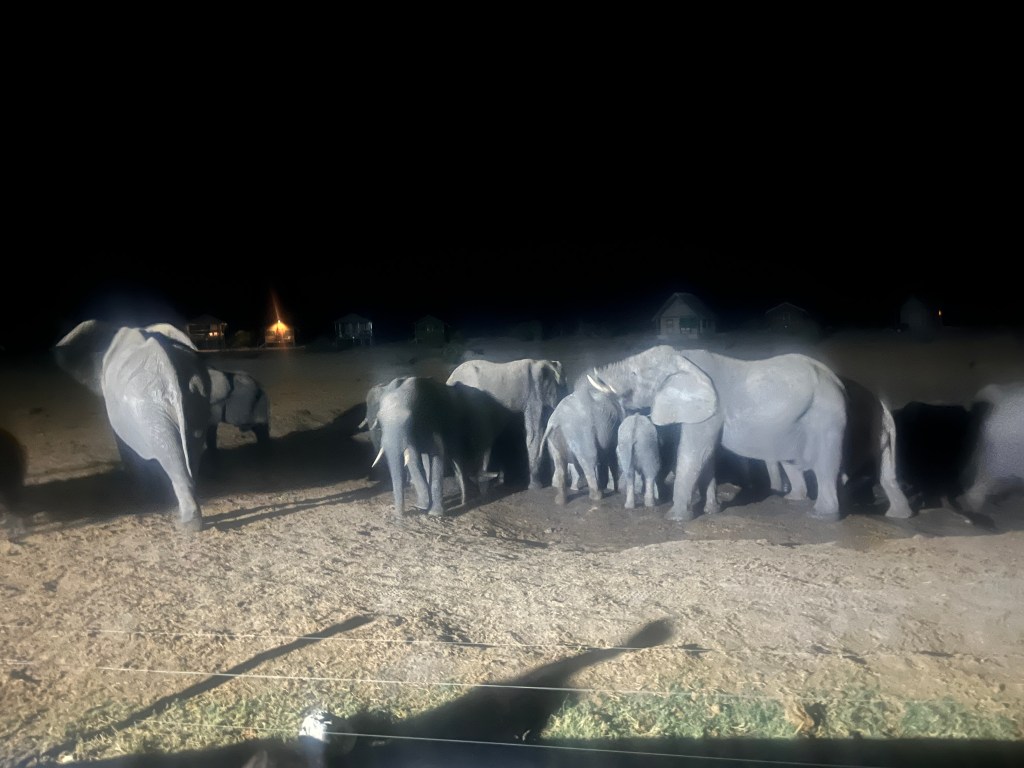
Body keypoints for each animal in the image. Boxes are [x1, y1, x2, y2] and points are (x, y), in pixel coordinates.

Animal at [53, 319, 212, 532]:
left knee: (171, 452)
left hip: (151, 409)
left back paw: (186, 524)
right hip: (196, 397)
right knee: (190, 448)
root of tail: (171, 373)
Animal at [369, 376, 515, 517]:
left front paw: (435, 513)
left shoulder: (434, 423)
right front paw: (421, 507)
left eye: (410, 419)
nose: (399, 516)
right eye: (379, 420)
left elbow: (437, 456)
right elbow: (414, 459)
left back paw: (468, 497)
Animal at [539, 373, 625, 506]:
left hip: (555, 438)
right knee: (590, 459)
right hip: (581, 432)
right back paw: (597, 496)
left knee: (559, 463)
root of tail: (555, 420)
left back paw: (560, 501)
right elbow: (611, 454)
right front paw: (615, 490)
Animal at [588, 345, 848, 521]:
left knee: (825, 465)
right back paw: (794, 499)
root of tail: (837, 380)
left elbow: (694, 452)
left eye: (634, 374)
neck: (683, 359)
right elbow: (707, 454)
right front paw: (711, 510)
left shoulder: (711, 409)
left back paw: (821, 515)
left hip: (825, 415)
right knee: (790, 460)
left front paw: (675, 518)